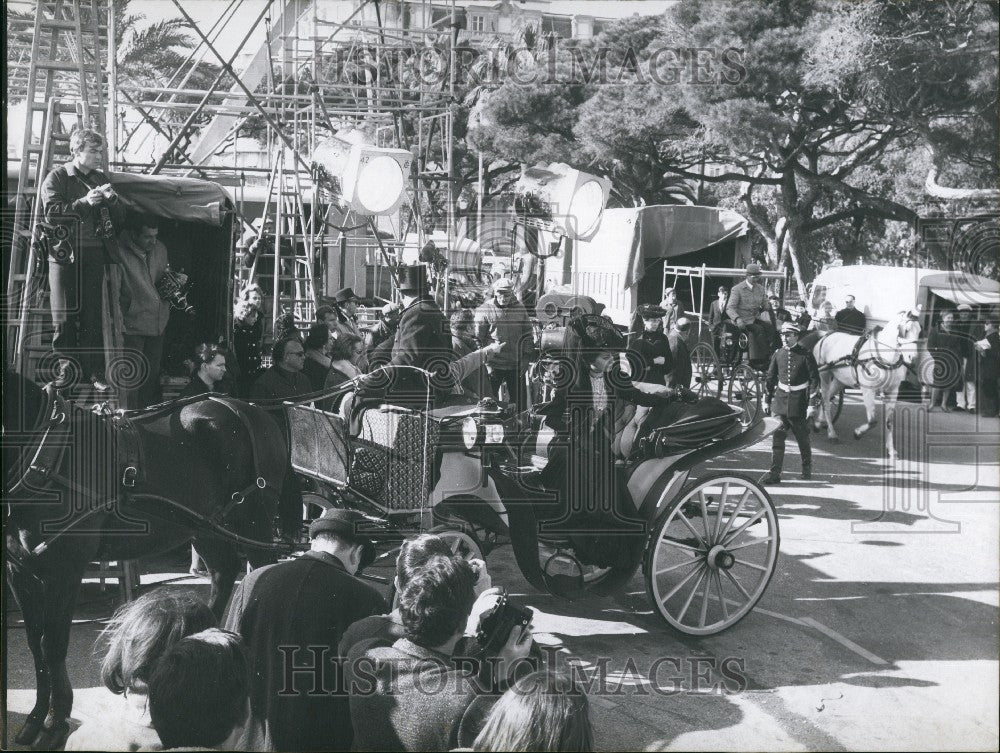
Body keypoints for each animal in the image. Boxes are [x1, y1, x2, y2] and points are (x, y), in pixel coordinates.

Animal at [3, 368, 288, 748]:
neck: (45, 449)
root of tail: (248, 408)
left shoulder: (64, 572)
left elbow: (53, 646)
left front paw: (56, 721)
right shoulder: (20, 572)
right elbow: (36, 645)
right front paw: (36, 719)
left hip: (253, 521)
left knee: (261, 572)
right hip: (206, 526)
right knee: (223, 573)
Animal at [808, 316, 916, 458]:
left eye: (920, 331)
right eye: (906, 330)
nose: (912, 358)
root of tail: (825, 335)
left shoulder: (893, 391)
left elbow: (889, 422)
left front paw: (891, 450)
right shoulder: (868, 389)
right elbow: (872, 421)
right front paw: (858, 433)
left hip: (839, 381)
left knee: (825, 397)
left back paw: (819, 422)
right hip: (824, 374)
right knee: (825, 400)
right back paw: (831, 434)